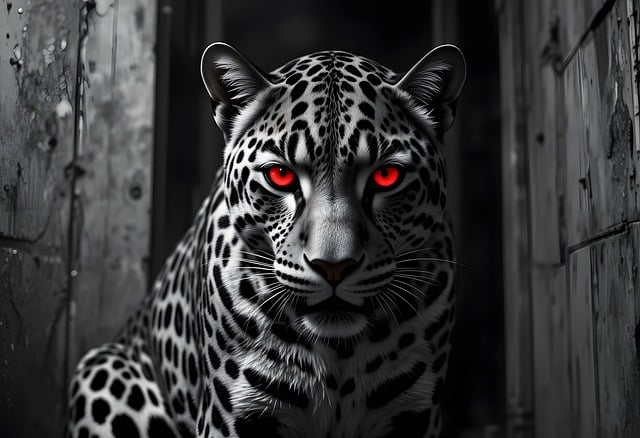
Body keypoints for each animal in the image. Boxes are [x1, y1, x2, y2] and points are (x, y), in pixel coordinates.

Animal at [66, 41, 466, 438]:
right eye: (280, 176)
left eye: (386, 177)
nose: (333, 268)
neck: (340, 353)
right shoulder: (231, 416)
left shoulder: (417, 415)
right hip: (101, 366)